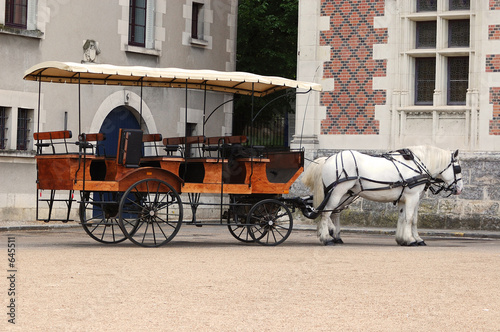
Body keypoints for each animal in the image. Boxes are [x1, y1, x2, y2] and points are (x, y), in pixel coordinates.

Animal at [300, 146, 460, 246]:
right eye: (458, 168)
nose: (460, 188)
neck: (416, 165)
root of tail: (329, 158)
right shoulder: (412, 196)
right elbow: (409, 219)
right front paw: (410, 240)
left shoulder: (407, 199)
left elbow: (408, 219)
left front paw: (407, 239)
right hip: (338, 192)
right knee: (326, 213)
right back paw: (327, 237)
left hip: (344, 194)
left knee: (334, 212)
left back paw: (335, 235)